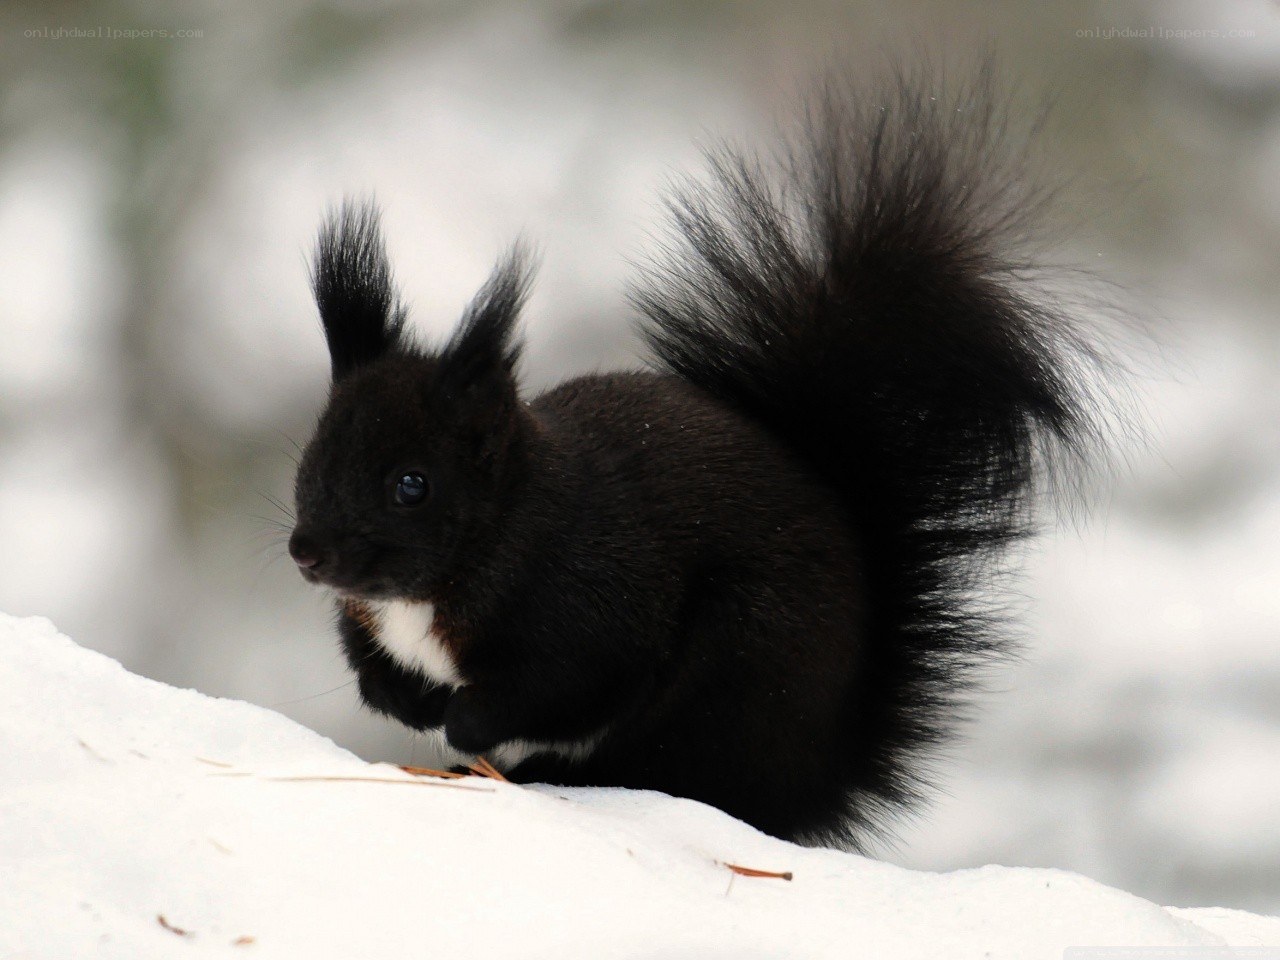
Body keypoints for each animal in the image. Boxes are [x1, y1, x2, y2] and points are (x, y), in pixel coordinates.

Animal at [286, 65, 1112, 848]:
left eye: (412, 485)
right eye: (311, 459)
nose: (307, 554)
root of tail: (821, 772)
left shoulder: (593, 608)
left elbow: (558, 688)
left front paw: (461, 721)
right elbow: (372, 668)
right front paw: (405, 700)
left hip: (732, 676)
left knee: (669, 770)